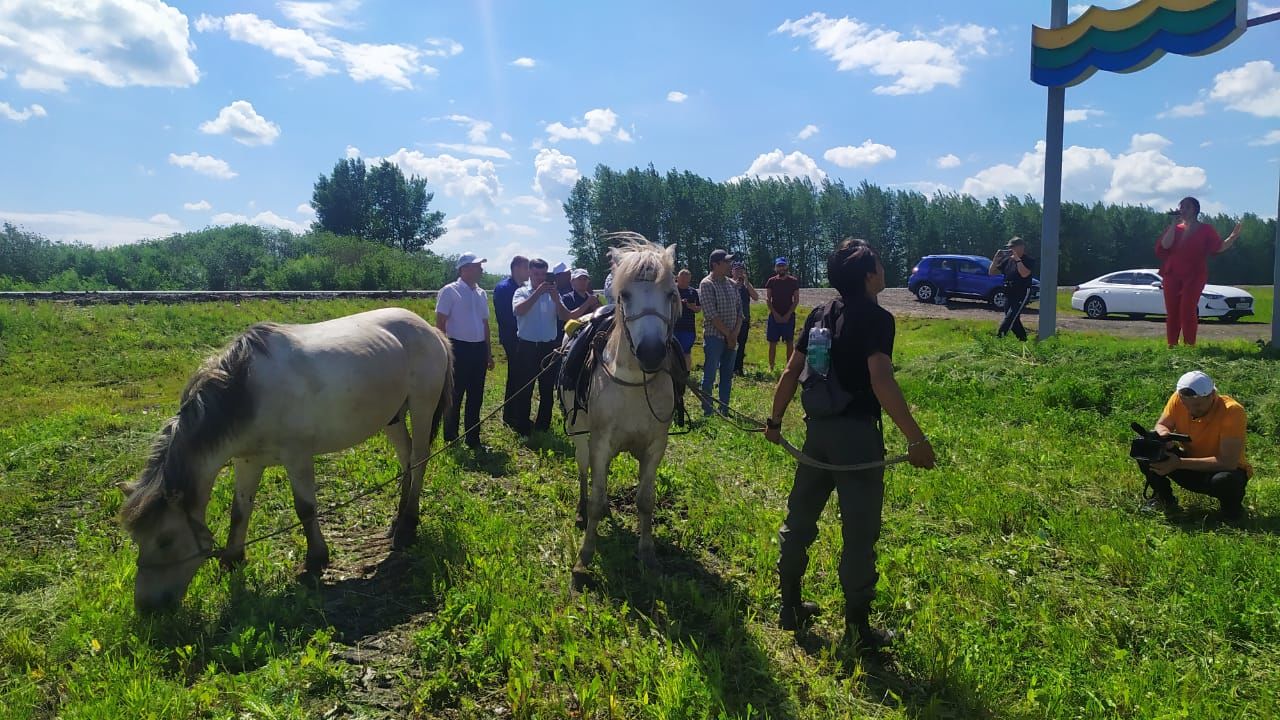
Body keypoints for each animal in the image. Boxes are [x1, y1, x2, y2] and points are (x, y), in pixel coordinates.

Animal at [116, 304, 455, 607]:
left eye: (165, 540)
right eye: (138, 540)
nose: (146, 607)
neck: (248, 393)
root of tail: (432, 331)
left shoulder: (297, 457)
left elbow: (305, 508)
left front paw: (316, 560)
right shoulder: (247, 461)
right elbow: (240, 511)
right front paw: (232, 559)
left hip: (422, 407)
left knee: (420, 458)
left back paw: (407, 525)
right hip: (392, 417)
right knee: (407, 457)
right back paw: (397, 520)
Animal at [560, 235, 680, 584]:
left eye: (670, 293)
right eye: (625, 294)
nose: (652, 353)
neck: (633, 384)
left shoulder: (655, 446)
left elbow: (645, 501)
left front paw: (648, 555)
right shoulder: (599, 443)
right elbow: (597, 497)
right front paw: (584, 557)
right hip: (579, 434)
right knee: (584, 471)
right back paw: (581, 511)